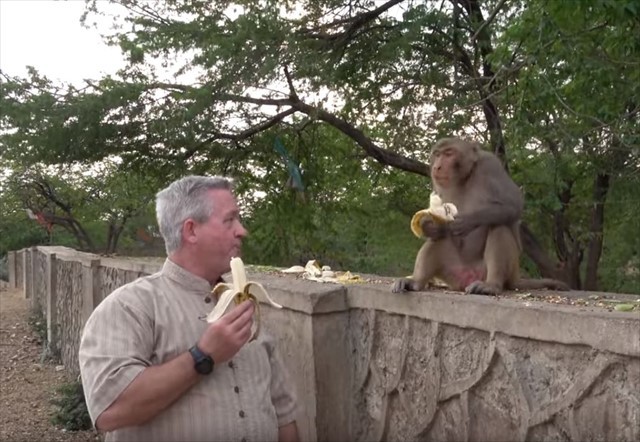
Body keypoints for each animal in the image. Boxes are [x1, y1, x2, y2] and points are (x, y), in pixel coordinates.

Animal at [392, 137, 568, 296]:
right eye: (437, 154)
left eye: (449, 153)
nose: (437, 166)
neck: (465, 176)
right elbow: (438, 220)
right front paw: (430, 225)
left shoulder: (491, 165)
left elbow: (513, 205)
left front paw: (465, 222)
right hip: (453, 273)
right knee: (439, 240)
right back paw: (415, 281)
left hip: (504, 270)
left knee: (499, 227)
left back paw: (491, 285)